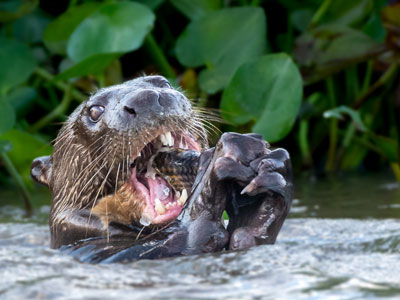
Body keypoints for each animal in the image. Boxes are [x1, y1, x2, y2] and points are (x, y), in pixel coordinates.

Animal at [31, 75, 292, 262]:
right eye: (94, 111)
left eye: (163, 82)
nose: (148, 97)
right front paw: (215, 168)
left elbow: (244, 238)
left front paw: (270, 180)